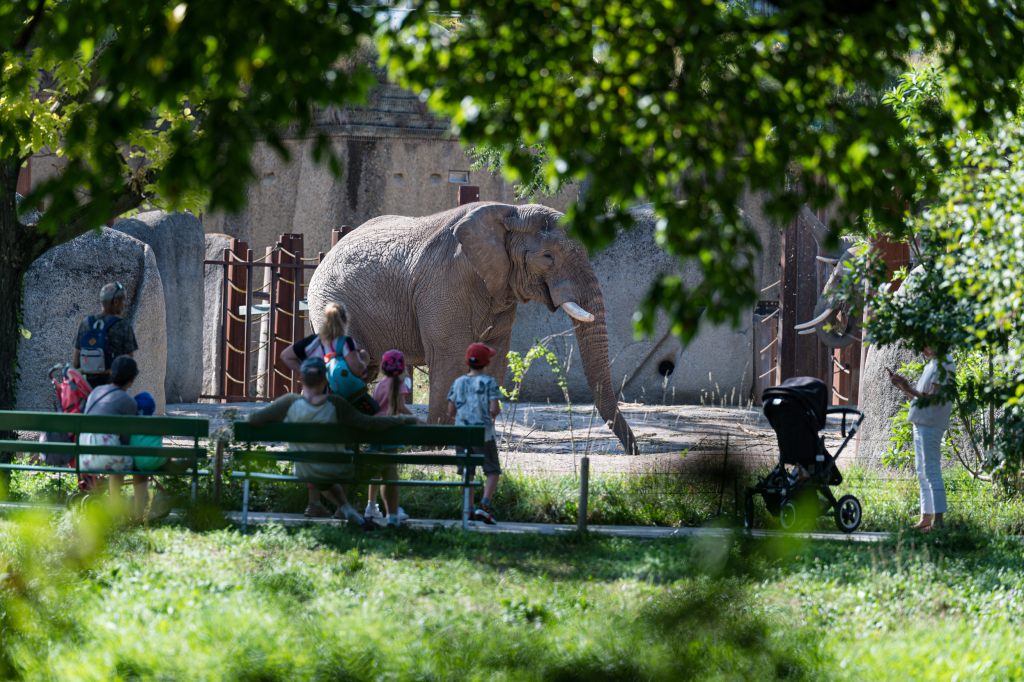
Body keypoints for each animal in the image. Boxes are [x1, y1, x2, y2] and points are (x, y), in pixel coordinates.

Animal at [305, 201, 638, 456]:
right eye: (547, 257)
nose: (634, 451)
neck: (510, 212)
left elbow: (493, 359)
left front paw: (479, 437)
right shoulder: (445, 282)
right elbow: (450, 358)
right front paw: (437, 445)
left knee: (365, 370)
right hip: (330, 301)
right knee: (349, 365)